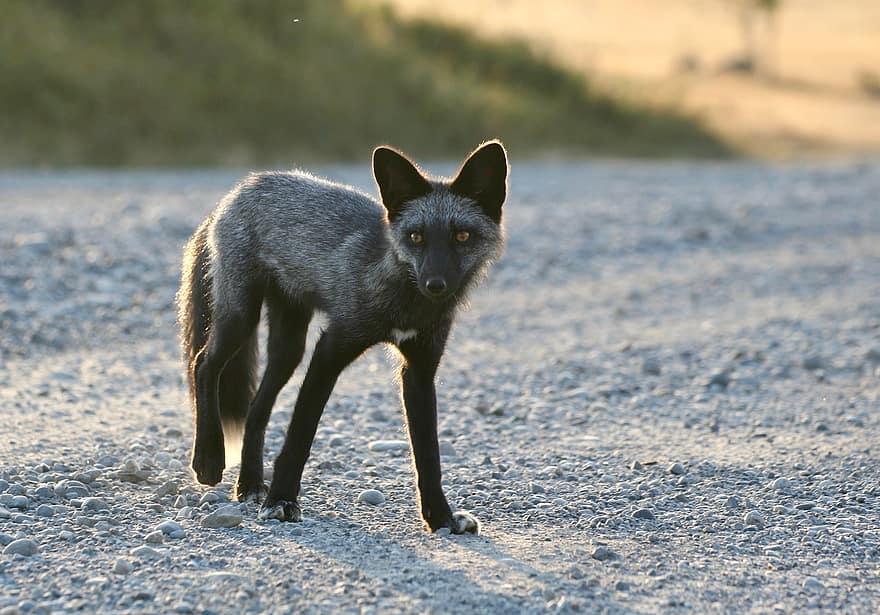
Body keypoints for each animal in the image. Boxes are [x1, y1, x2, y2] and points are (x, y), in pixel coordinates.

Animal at [177, 140, 508, 536]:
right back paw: (209, 460)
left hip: (288, 348)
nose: (436, 285)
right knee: (204, 365)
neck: (403, 302)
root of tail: (239, 190)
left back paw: (251, 485)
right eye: (416, 237)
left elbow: (428, 454)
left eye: (462, 236)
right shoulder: (331, 349)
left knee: (256, 410)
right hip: (240, 319)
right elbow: (300, 433)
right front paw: (282, 501)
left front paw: (440, 518)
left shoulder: (420, 367)